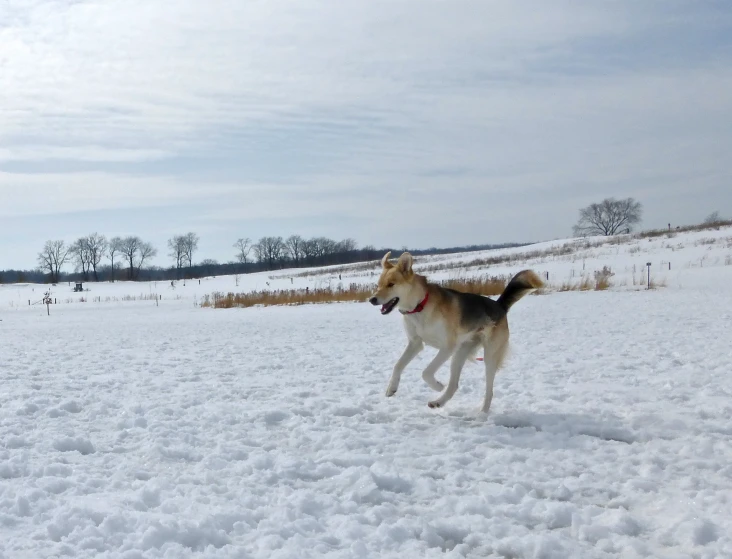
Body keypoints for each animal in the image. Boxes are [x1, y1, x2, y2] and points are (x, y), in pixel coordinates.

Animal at [368, 252, 540, 414]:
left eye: (391, 284)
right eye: (378, 285)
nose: (372, 300)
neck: (420, 306)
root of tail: (500, 306)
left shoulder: (447, 348)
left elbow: (426, 372)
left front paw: (437, 386)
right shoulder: (415, 344)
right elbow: (398, 365)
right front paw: (392, 388)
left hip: (488, 357)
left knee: (489, 392)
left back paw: (482, 414)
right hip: (460, 354)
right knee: (454, 385)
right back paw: (438, 402)